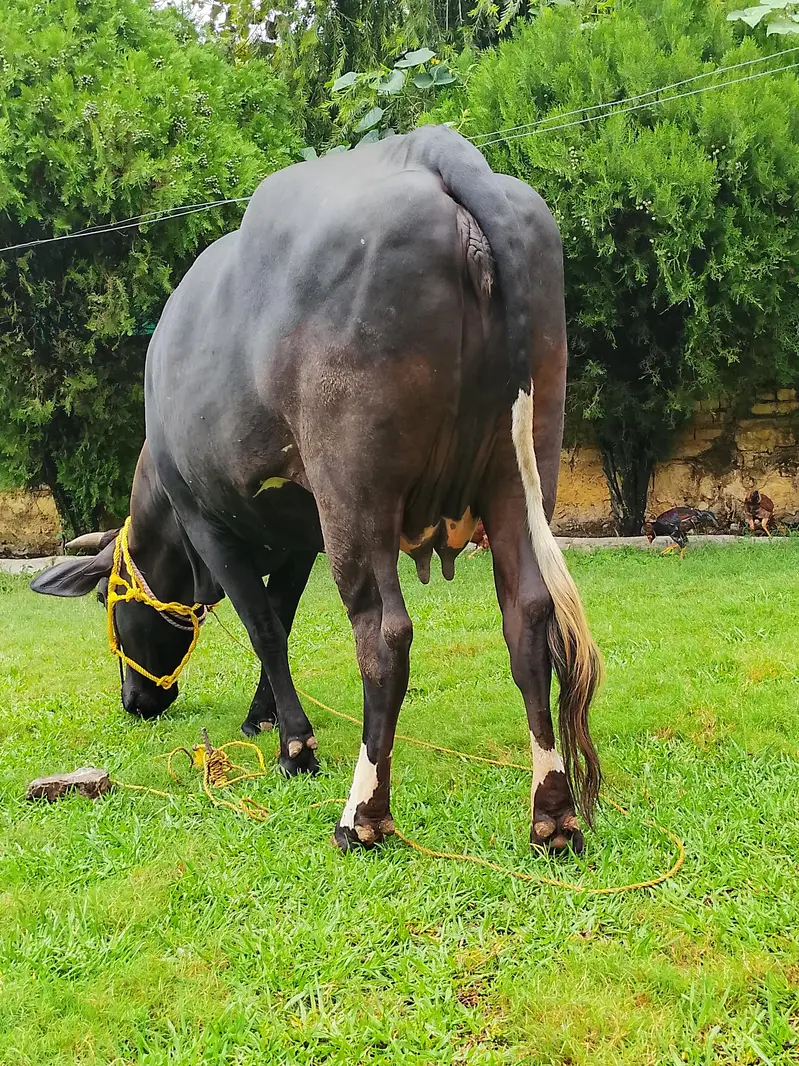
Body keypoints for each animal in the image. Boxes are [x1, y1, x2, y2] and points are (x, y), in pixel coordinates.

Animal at [31, 125, 602, 854]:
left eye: (108, 597)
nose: (135, 701)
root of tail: (432, 149)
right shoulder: (301, 535)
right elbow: (281, 615)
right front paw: (264, 717)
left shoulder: (210, 523)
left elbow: (263, 627)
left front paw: (296, 747)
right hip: (520, 475)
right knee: (527, 613)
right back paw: (551, 814)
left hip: (356, 494)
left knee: (384, 635)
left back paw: (363, 814)